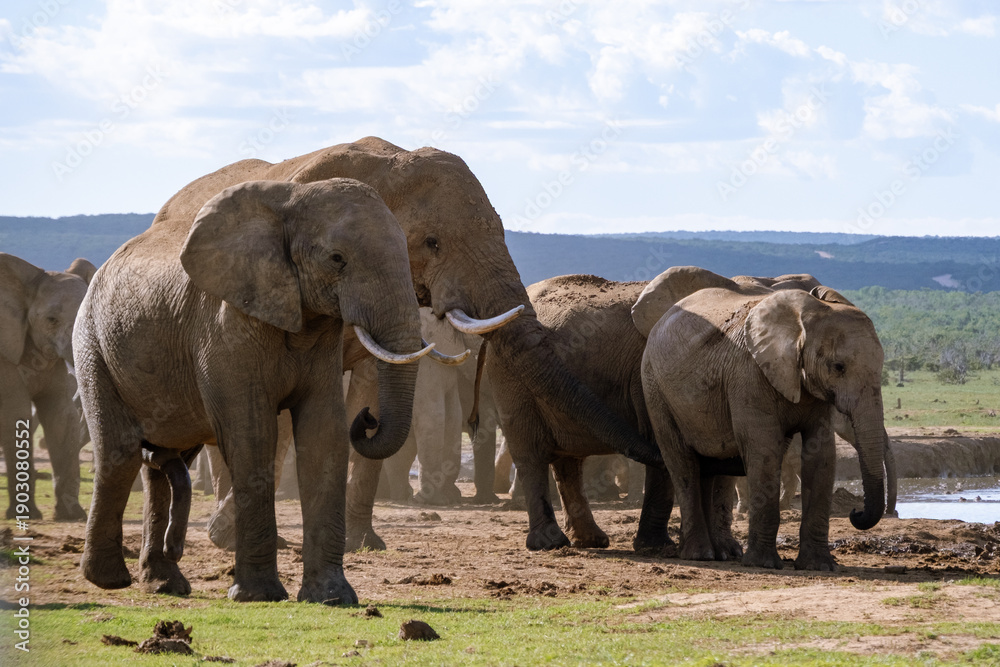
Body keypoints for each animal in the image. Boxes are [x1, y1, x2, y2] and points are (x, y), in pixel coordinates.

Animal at [76, 177, 433, 604]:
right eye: (336, 259)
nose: (367, 418)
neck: (289, 203)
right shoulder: (225, 326)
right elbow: (253, 433)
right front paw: (259, 595)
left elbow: (323, 435)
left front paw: (332, 597)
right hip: (92, 343)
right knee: (120, 453)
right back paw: (109, 579)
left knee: (162, 463)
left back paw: (165, 583)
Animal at [487, 274, 673, 552]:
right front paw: (660, 548)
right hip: (509, 380)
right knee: (531, 454)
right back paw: (550, 543)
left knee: (568, 462)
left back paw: (590, 540)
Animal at [638, 266, 890, 570]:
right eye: (838, 367)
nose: (856, 511)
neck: (802, 319)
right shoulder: (749, 374)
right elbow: (765, 450)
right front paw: (764, 564)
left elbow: (821, 455)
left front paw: (819, 566)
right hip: (655, 389)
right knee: (682, 463)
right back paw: (700, 555)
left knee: (709, 466)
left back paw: (720, 553)